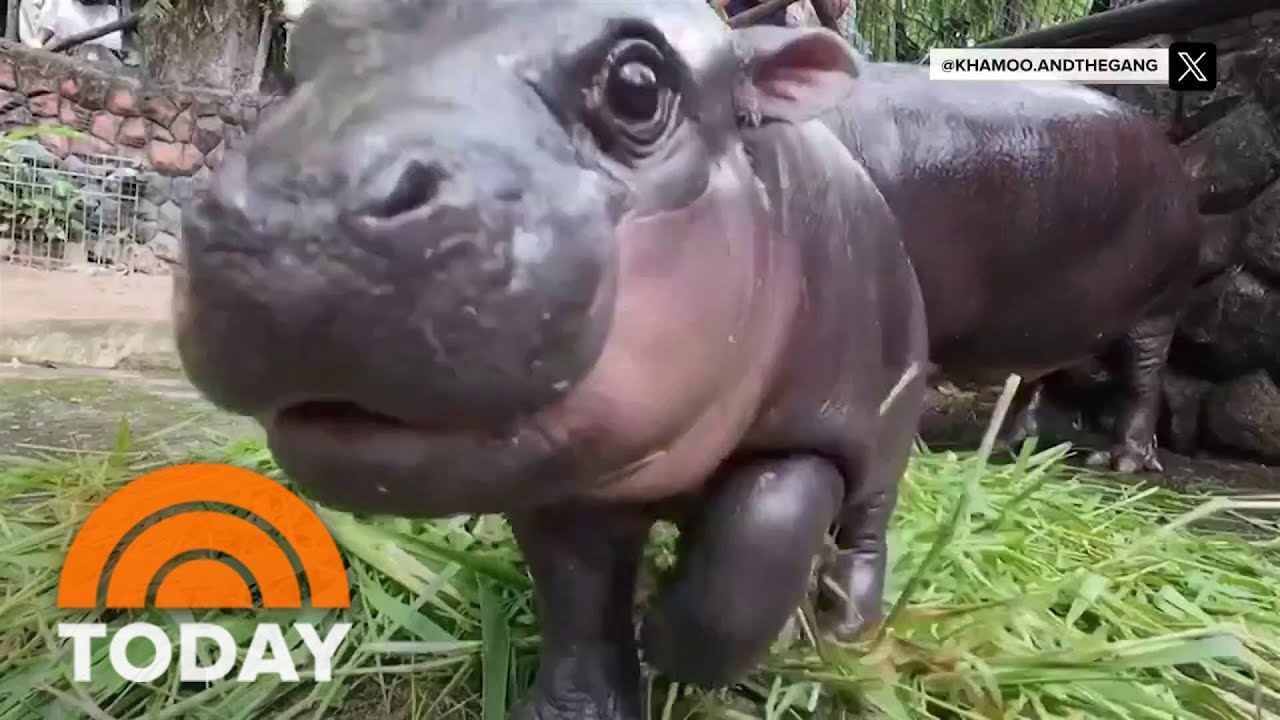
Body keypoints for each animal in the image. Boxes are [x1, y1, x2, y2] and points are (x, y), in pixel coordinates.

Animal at [172, 1, 928, 717]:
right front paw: (573, 707)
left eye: (638, 86)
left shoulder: (818, 425)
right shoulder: (560, 486)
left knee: (863, 528)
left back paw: (845, 632)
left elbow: (762, 529)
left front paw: (667, 637)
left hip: (891, 425)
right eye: (298, 57)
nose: (296, 213)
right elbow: (577, 596)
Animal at [817, 62, 1205, 472]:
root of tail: (1174, 159)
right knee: (1037, 378)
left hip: (1155, 310)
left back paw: (1118, 461)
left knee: (1143, 381)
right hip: (1051, 318)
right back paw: (1009, 447)